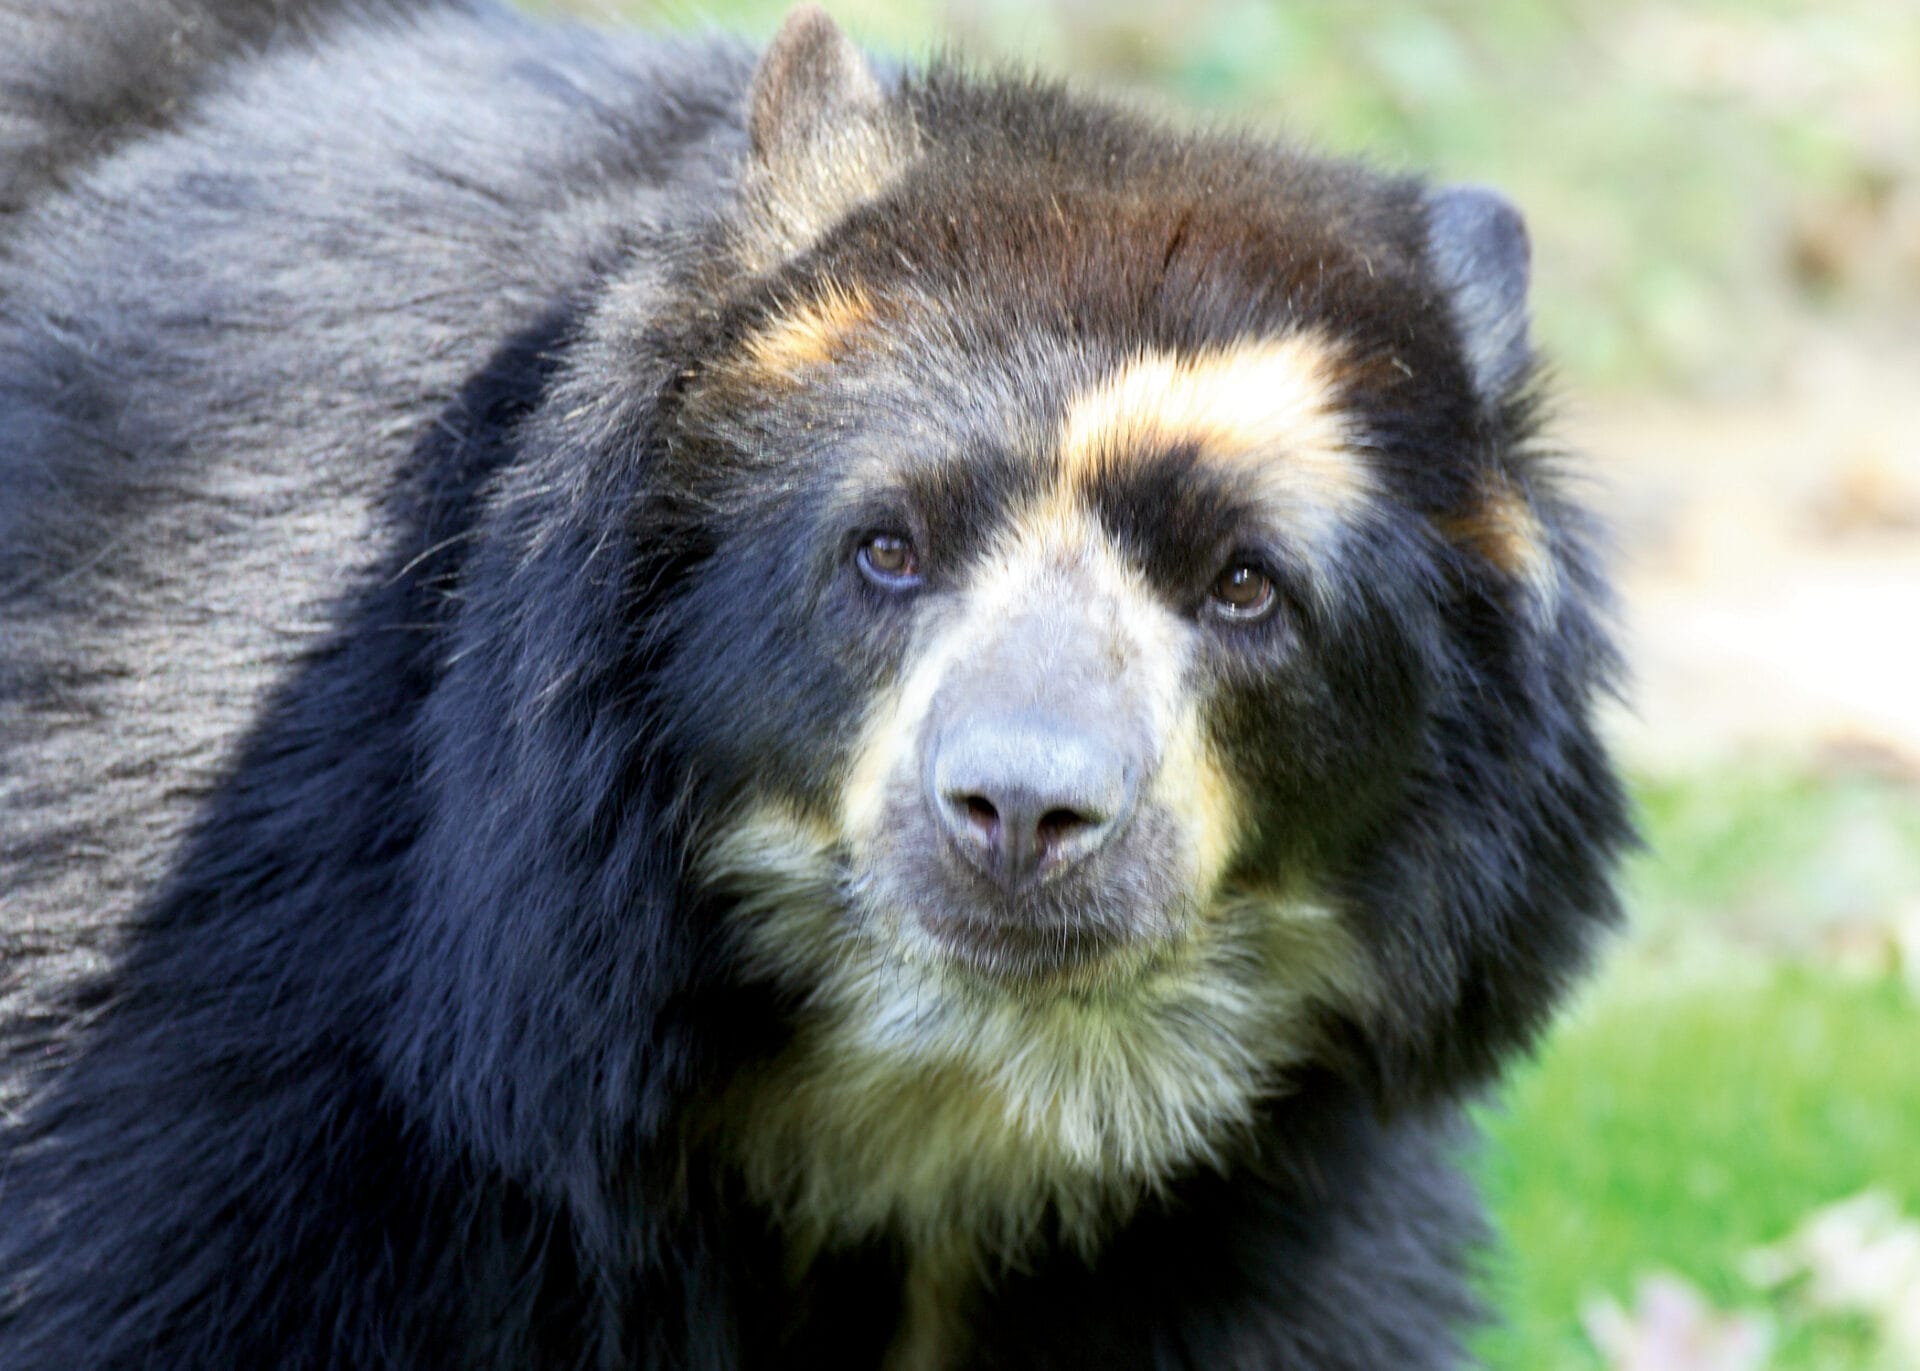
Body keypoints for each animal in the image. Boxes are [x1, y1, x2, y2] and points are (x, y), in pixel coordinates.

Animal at [0, 2, 1630, 1366]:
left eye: (1245, 584)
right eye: (885, 548)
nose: (1020, 810)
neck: (930, 1096)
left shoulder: (1259, 1214)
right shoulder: (242, 960)